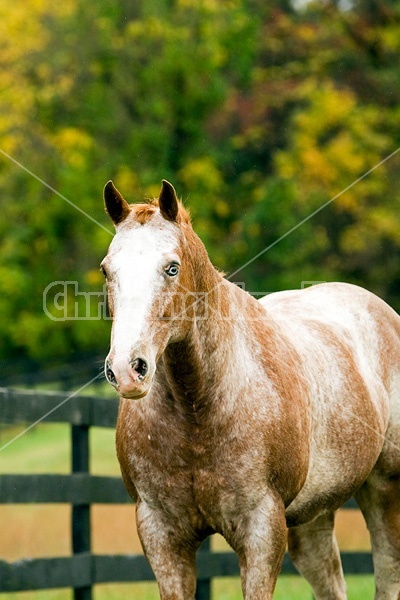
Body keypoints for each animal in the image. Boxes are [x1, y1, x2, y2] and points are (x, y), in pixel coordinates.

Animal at [101, 179, 400, 600]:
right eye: (107, 270)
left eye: (172, 268)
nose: (128, 370)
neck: (198, 411)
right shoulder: (161, 534)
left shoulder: (261, 531)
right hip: (311, 519)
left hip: (384, 488)